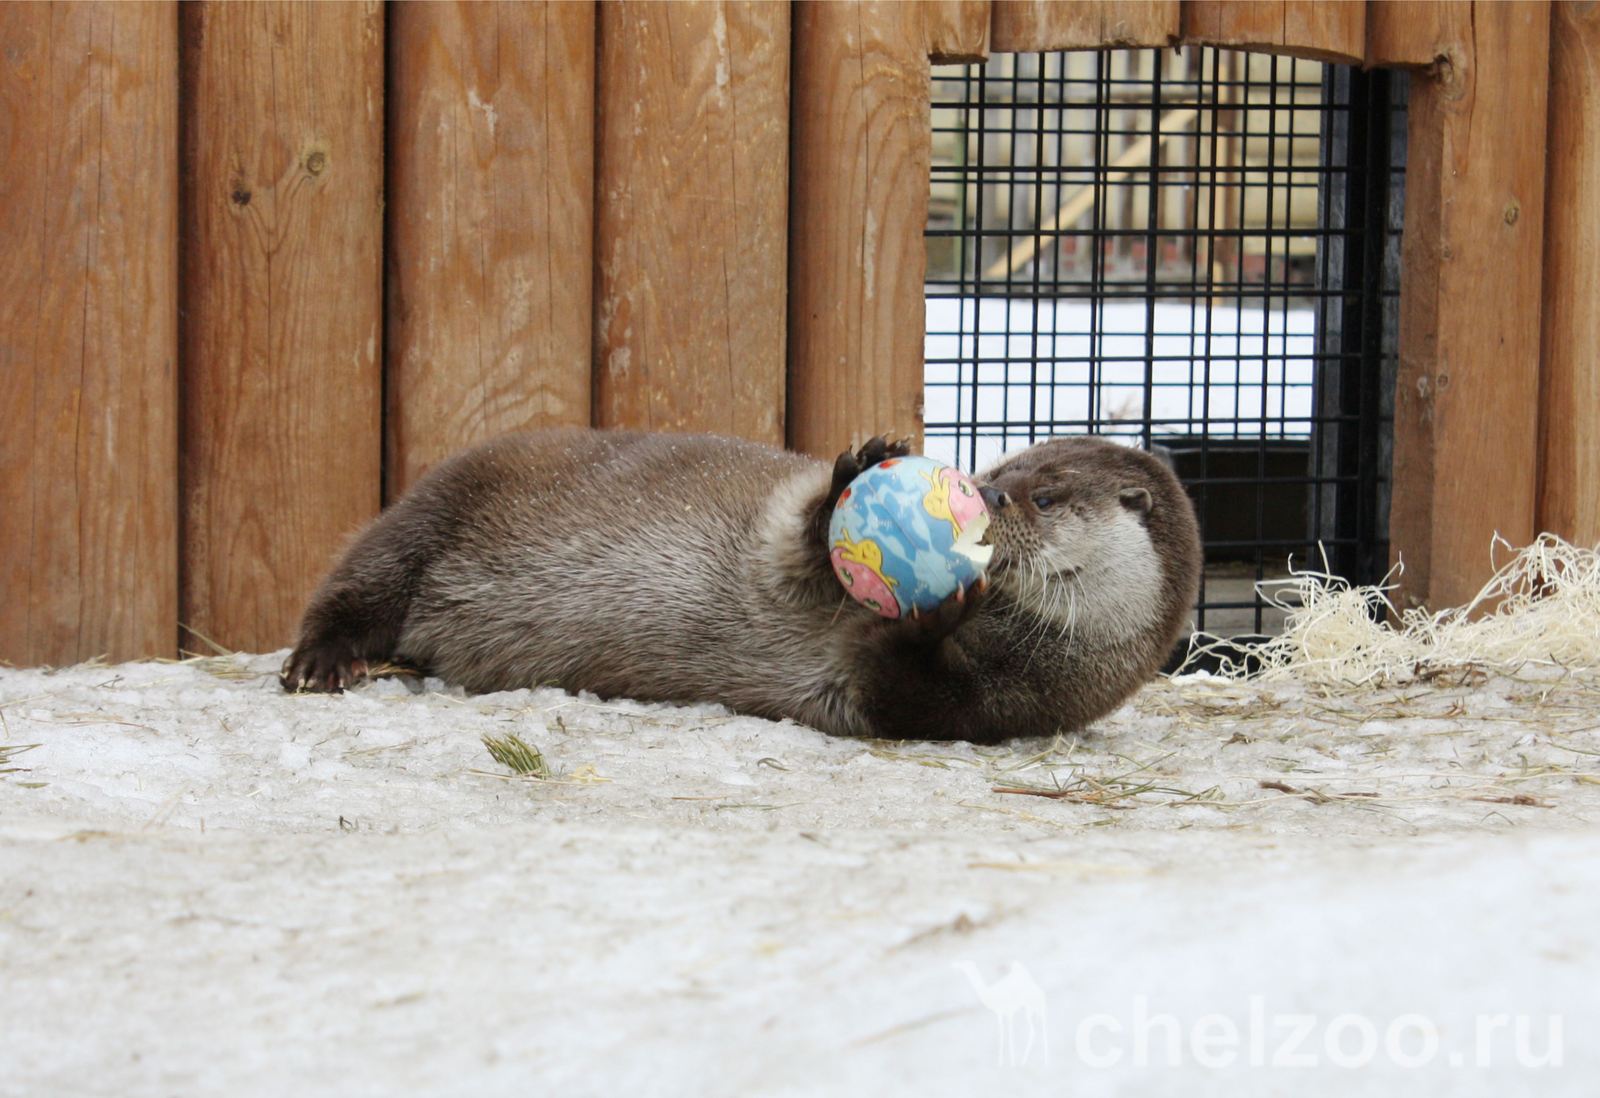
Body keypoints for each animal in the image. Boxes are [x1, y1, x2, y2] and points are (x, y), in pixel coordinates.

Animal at [278, 428, 1203, 749]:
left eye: (1043, 497)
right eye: (1004, 468)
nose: (981, 492)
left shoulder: (977, 707)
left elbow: (893, 684)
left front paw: (931, 611)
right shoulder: (782, 549)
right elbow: (798, 533)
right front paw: (857, 473)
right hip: (434, 510)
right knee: (353, 585)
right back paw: (320, 662)